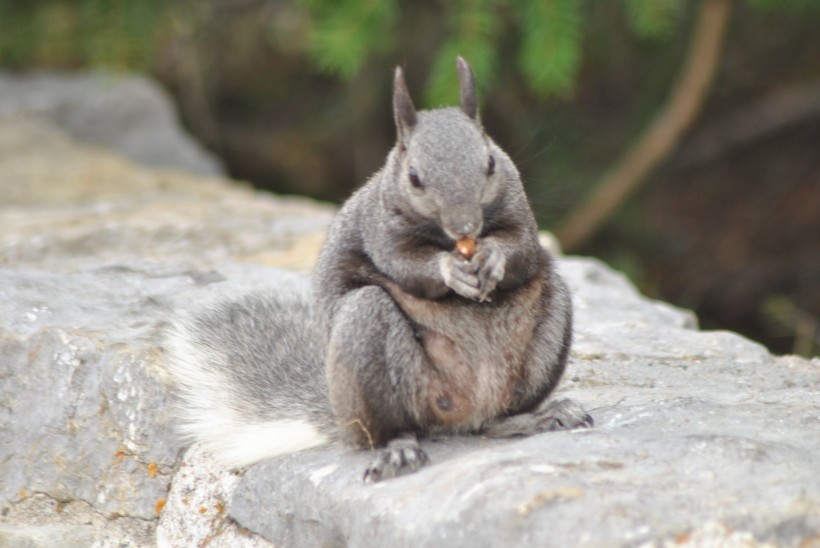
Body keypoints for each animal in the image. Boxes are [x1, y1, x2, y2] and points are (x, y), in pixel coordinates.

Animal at [165, 56, 588, 484]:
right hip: (370, 339)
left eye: (490, 163)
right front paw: (449, 270)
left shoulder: (518, 206)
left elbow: (523, 248)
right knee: (390, 428)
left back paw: (535, 417)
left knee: (494, 419)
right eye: (414, 177)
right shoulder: (380, 230)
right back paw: (398, 449)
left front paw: (493, 258)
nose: (465, 226)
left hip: (547, 329)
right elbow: (407, 265)